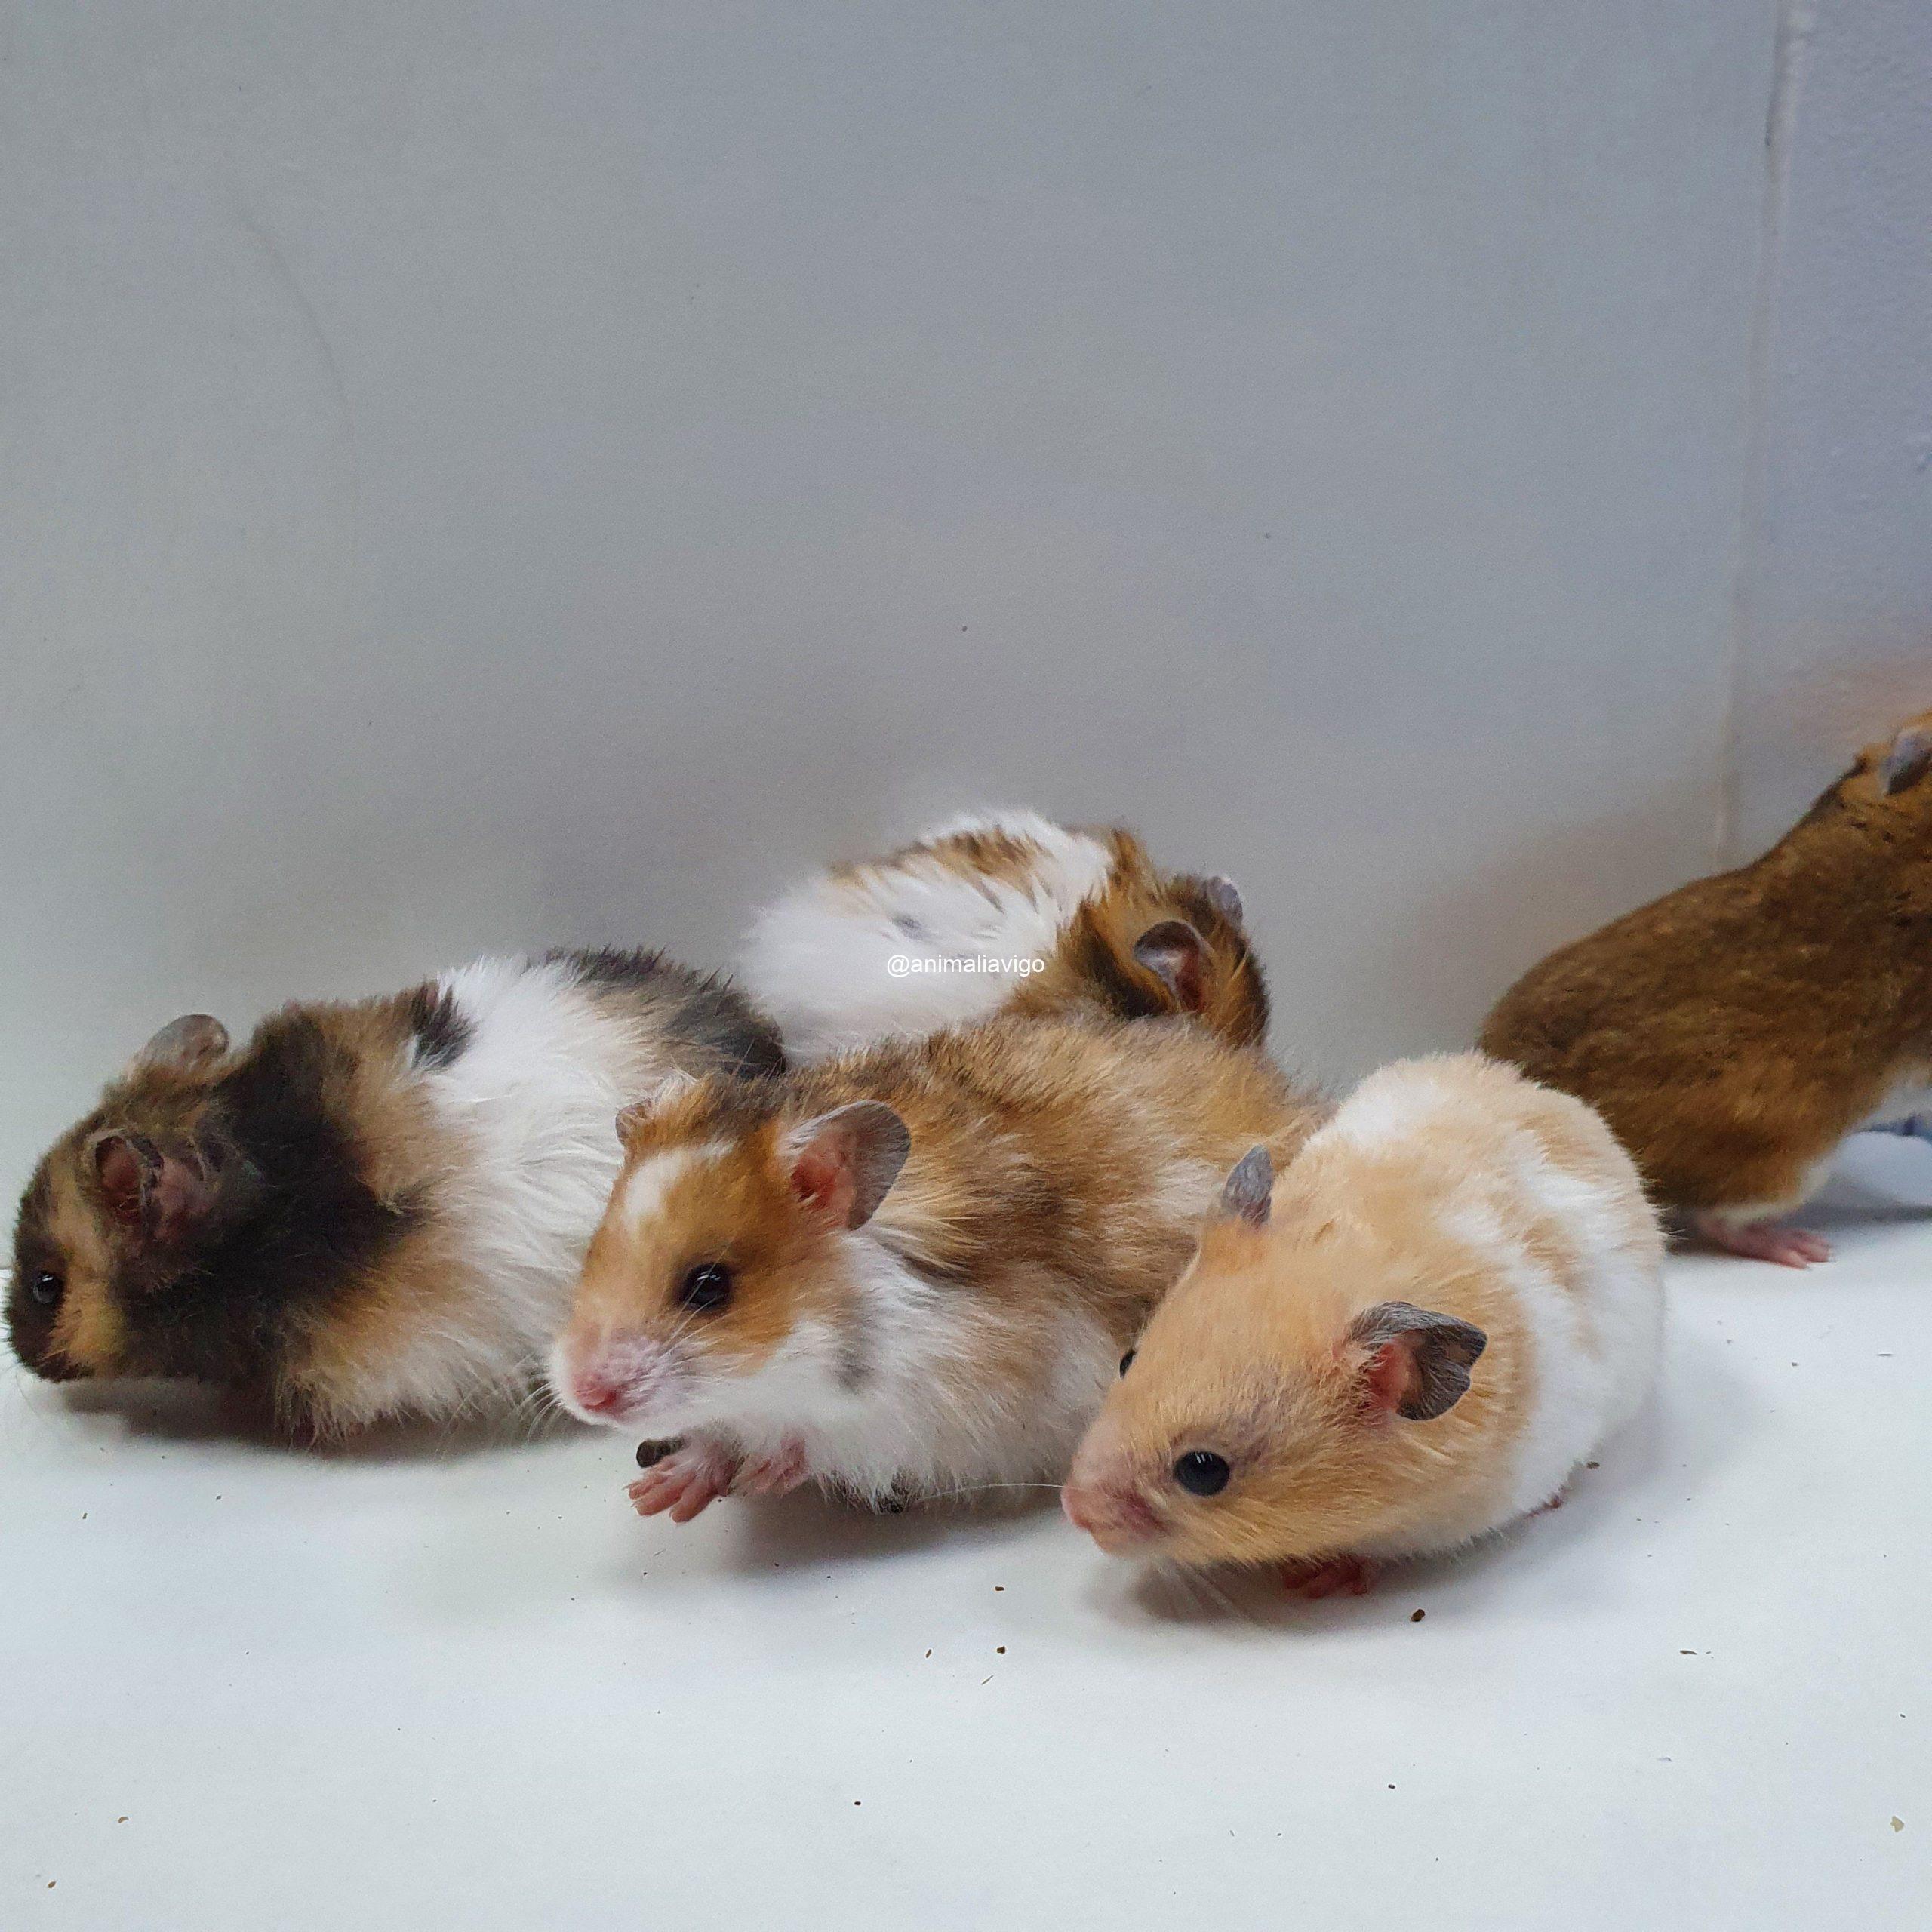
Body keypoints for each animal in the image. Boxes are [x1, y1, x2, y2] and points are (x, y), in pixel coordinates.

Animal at [549, 1013, 1322, 1518]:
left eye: (710, 1288)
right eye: (593, 1251)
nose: (585, 1396)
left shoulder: (945, 1403)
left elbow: (820, 1440)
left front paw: (762, 1474)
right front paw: (663, 1497)